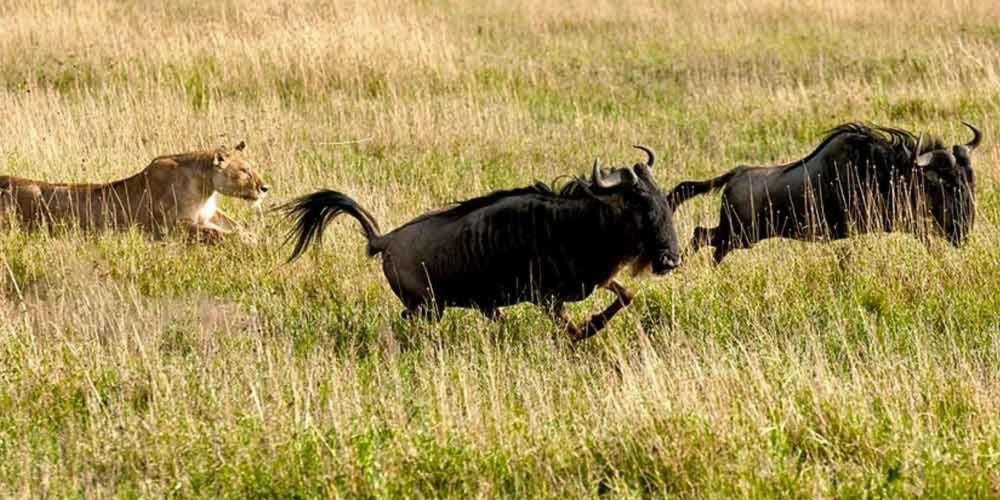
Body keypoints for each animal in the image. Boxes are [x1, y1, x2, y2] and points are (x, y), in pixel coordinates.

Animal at [0, 140, 270, 243]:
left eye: (252, 167)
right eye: (245, 171)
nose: (265, 187)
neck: (205, 186)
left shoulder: (209, 214)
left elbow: (234, 226)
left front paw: (256, 236)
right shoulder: (172, 226)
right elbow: (216, 233)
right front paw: (248, 241)